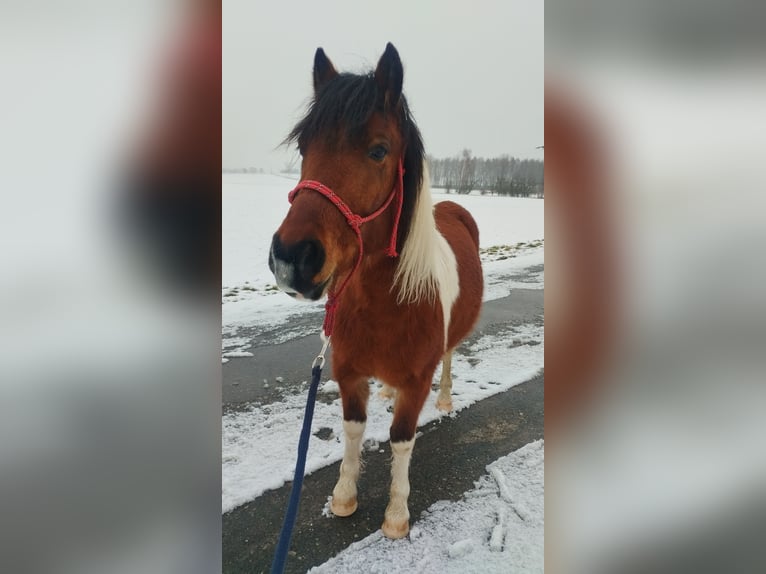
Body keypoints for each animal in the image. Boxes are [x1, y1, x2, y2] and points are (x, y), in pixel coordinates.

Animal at [269, 43, 483, 539]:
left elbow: (401, 440)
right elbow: (353, 430)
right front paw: (344, 496)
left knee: (449, 358)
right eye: (305, 147)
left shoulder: (417, 381)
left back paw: (446, 398)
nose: (291, 259)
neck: (385, 303)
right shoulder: (348, 374)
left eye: (379, 150)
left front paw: (396, 515)